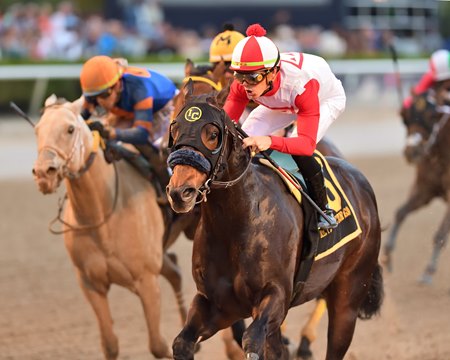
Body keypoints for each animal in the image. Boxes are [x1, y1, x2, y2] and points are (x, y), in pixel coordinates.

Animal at [29, 95, 195, 360]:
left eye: (70, 129)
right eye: (37, 130)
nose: (44, 173)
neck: (103, 215)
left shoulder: (147, 280)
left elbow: (157, 344)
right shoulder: (90, 283)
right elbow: (110, 344)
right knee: (175, 271)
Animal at [165, 86, 384, 358]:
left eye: (213, 134)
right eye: (174, 128)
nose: (179, 192)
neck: (238, 222)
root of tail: (361, 183)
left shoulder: (276, 296)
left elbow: (252, 341)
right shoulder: (217, 304)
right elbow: (182, 342)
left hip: (348, 296)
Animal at [384, 81, 450, 284]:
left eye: (432, 115)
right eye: (405, 116)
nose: (412, 151)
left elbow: (441, 234)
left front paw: (428, 271)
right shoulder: (424, 190)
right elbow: (400, 213)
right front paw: (387, 255)